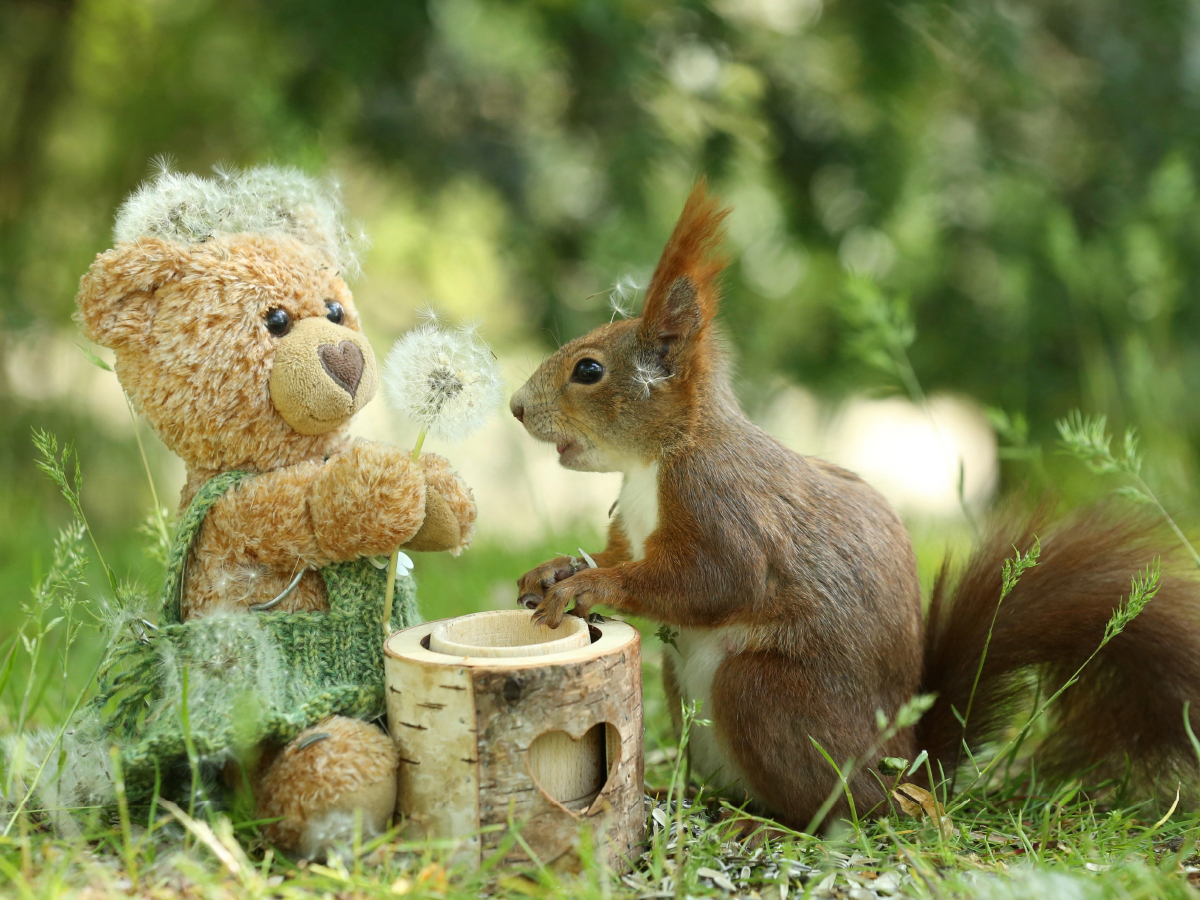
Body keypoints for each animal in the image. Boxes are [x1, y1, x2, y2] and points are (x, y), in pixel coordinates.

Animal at [508, 180, 1200, 830]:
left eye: (589, 370)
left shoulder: (724, 502)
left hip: (764, 695)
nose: (516, 407)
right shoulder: (635, 528)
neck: (656, 461)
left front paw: (593, 586)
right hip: (686, 689)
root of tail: (908, 772)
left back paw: (766, 825)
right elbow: (617, 553)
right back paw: (699, 799)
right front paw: (554, 570)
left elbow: (718, 580)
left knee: (843, 810)